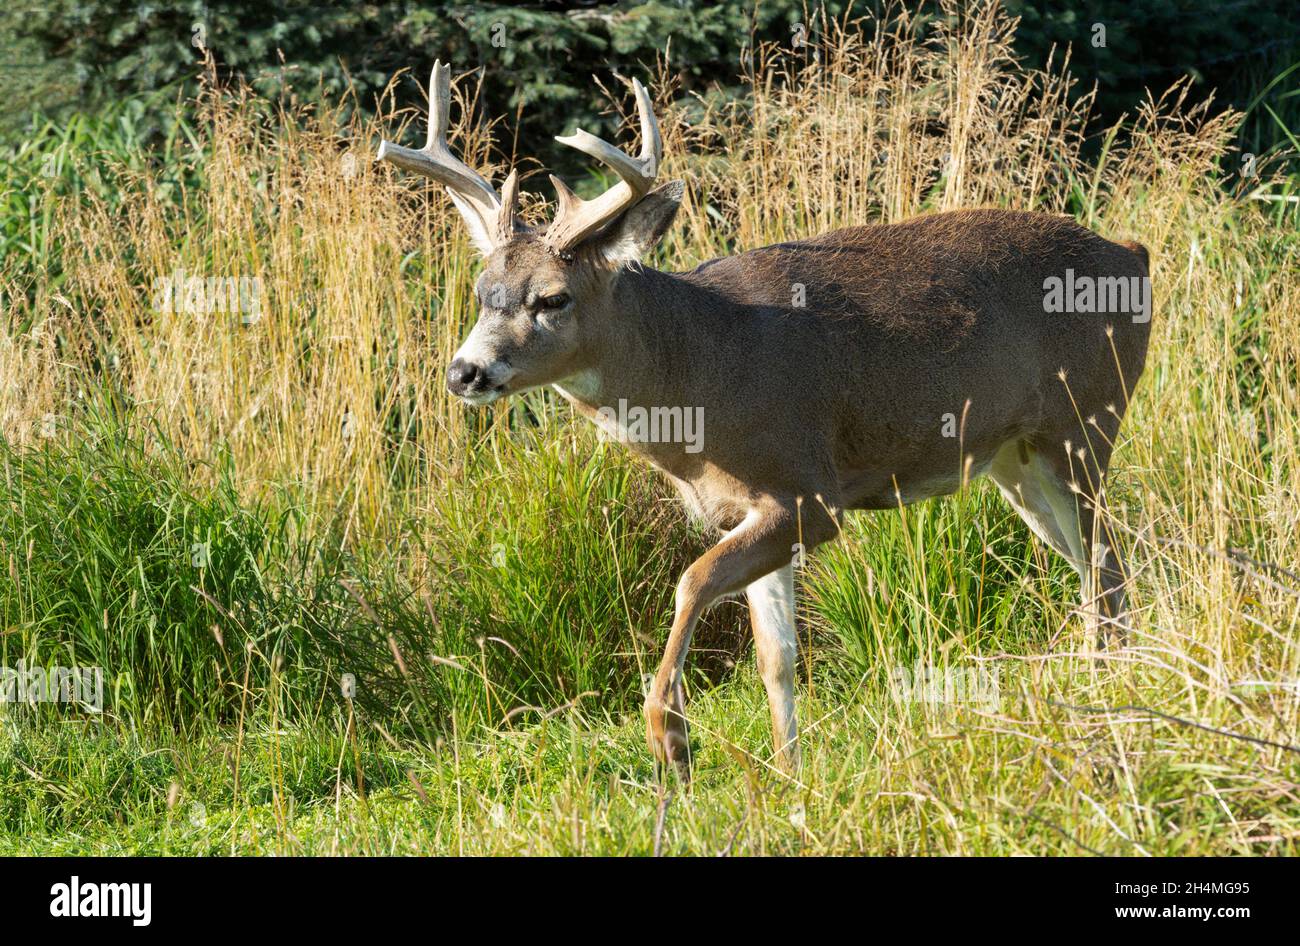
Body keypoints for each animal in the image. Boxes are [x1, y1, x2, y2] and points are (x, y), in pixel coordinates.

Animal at [377, 64, 1149, 774]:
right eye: (483, 291)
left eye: (552, 298)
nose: (465, 372)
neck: (699, 376)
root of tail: (1134, 256)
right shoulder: (749, 510)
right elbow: (776, 656)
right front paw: (790, 779)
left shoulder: (809, 491)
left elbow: (692, 581)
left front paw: (670, 736)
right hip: (1017, 462)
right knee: (1094, 571)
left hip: (1085, 421)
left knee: (1109, 569)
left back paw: (1107, 704)